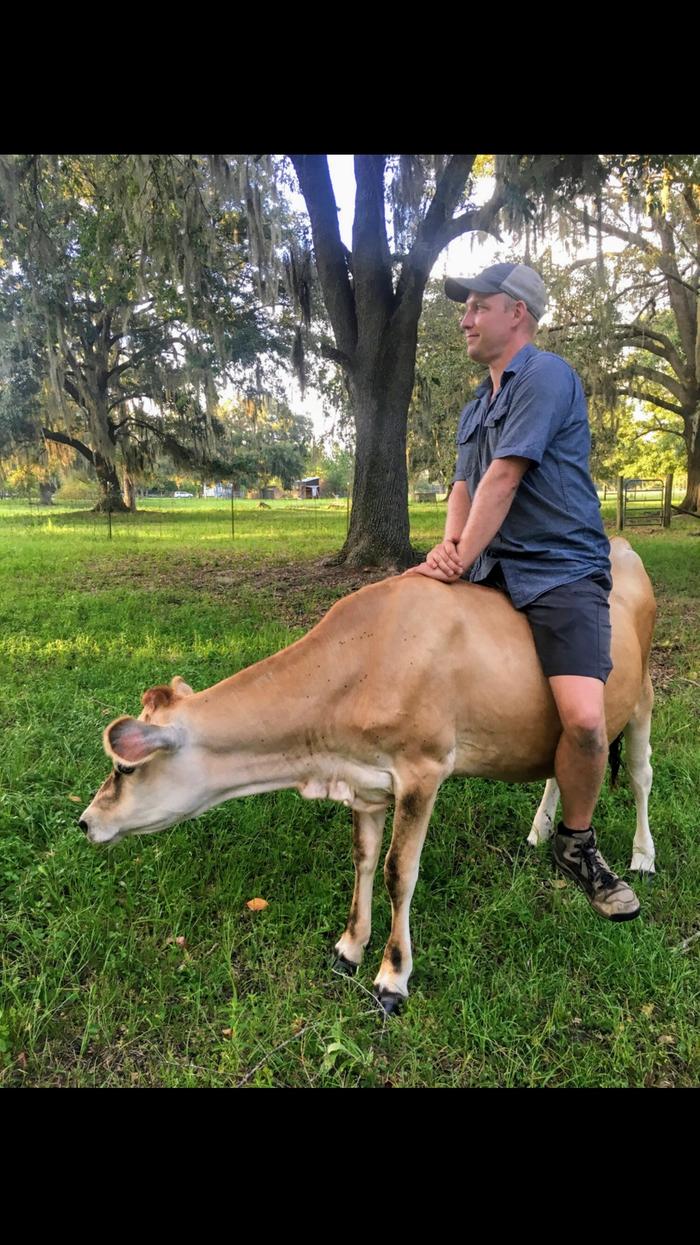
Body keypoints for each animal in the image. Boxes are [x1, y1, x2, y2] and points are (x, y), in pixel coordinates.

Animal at [79, 536, 656, 1013]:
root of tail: (622, 544)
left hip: (640, 696)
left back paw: (639, 860)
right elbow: (363, 860)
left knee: (638, 773)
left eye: (123, 767)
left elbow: (399, 871)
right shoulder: (365, 780)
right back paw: (540, 831)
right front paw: (349, 948)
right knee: (562, 768)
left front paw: (392, 977)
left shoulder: (422, 770)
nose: (85, 821)